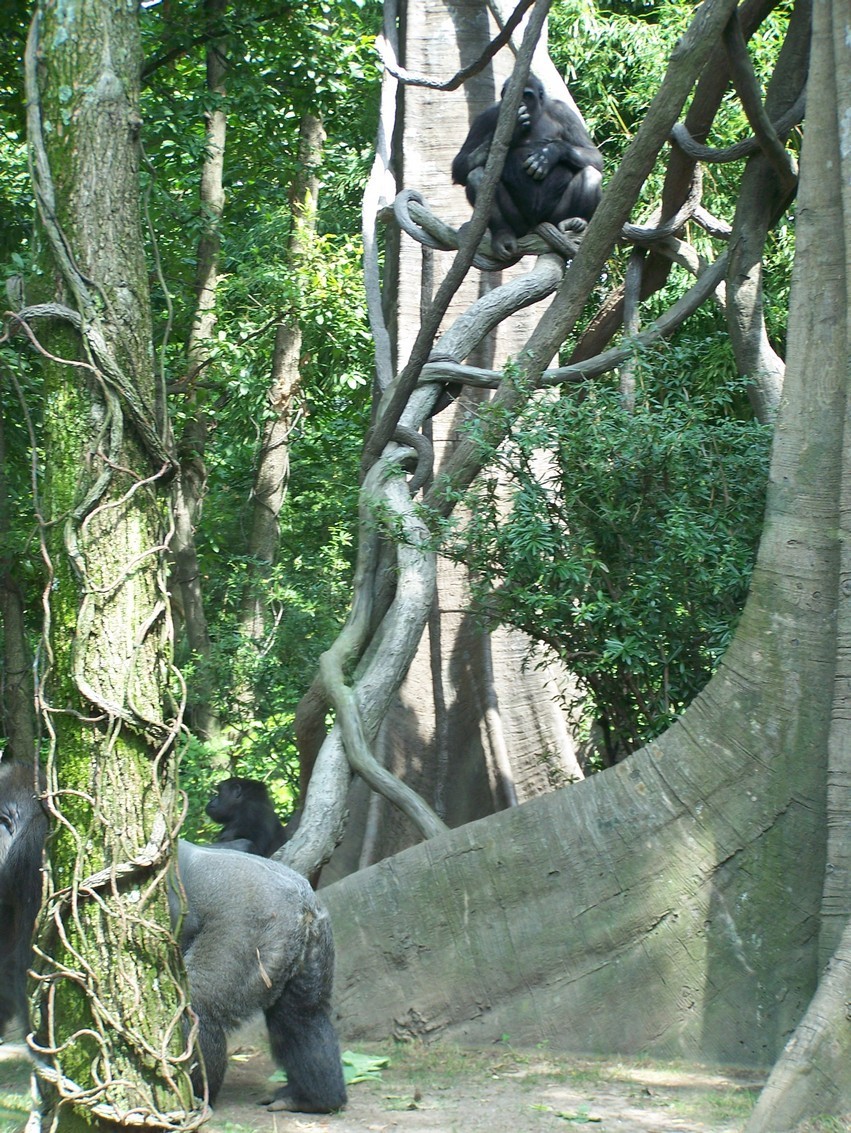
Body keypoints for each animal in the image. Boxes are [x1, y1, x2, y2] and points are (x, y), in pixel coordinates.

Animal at [452, 73, 603, 261]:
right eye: (514, 97)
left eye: (527, 95)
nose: (520, 105)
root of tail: (533, 228)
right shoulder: (486, 116)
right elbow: (460, 165)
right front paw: (514, 130)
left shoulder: (564, 112)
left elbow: (593, 155)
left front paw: (550, 153)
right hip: (519, 226)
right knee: (477, 175)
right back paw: (503, 234)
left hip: (553, 218)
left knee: (591, 173)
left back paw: (576, 220)